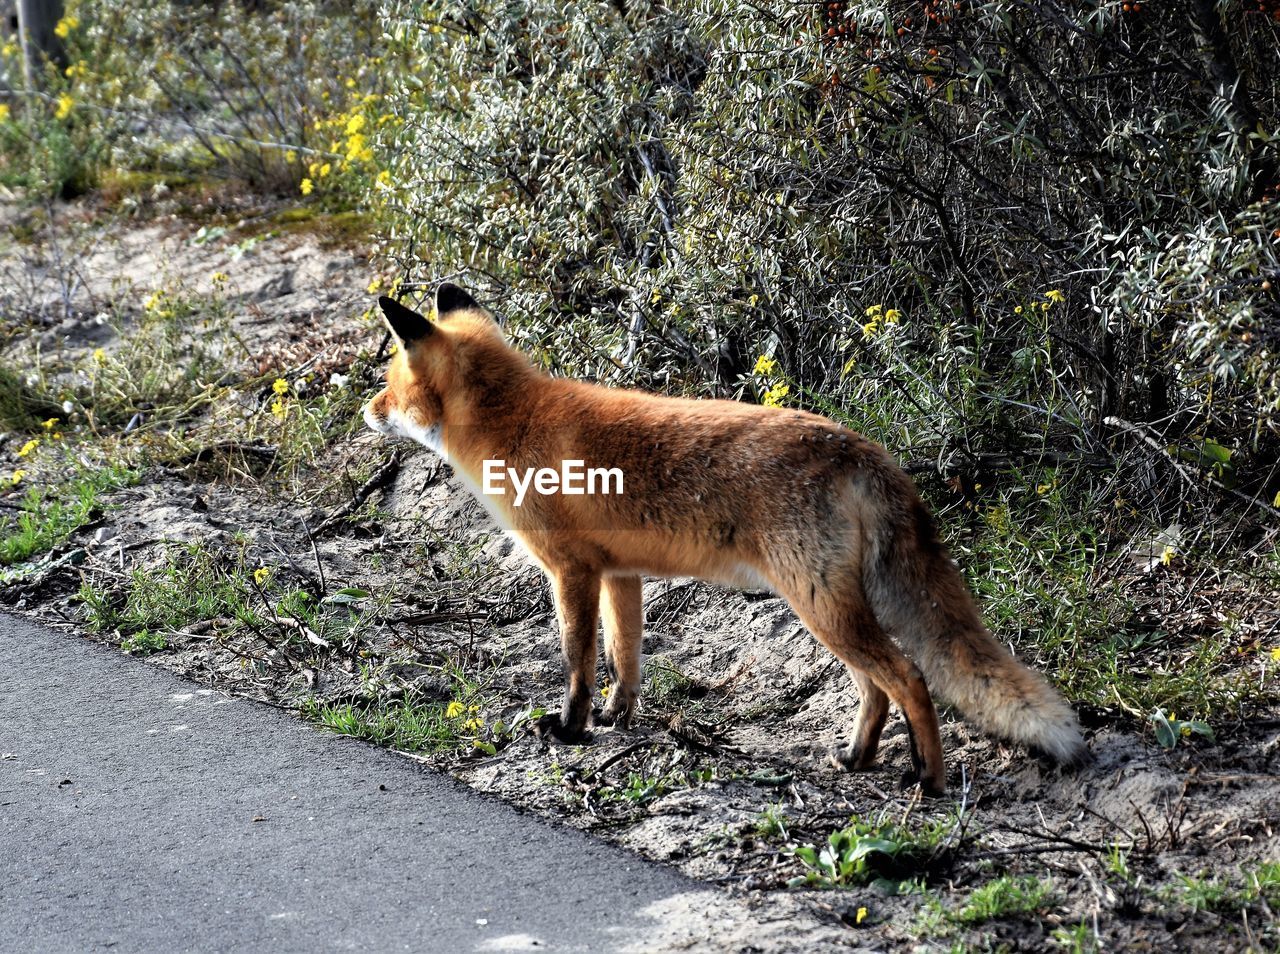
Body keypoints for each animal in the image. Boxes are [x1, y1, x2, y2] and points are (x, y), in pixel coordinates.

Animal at [363, 282, 1090, 793]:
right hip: (829, 609)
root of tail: (860, 447)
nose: (365, 411)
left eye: (388, 385)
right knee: (877, 687)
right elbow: (626, 659)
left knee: (908, 676)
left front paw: (571, 729)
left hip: (820, 606)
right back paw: (856, 759)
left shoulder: (571, 572)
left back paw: (929, 780)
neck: (512, 421)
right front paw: (618, 720)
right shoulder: (619, 574)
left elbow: (578, 662)